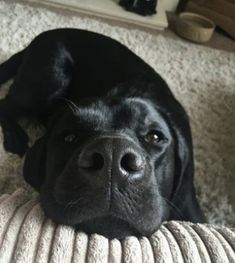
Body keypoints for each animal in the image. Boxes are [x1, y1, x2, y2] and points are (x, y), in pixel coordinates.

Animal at [0, 28, 204, 239]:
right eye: (69, 136)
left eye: (155, 137)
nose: (112, 156)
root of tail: (42, 36)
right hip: (51, 77)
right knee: (5, 104)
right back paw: (15, 138)